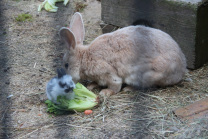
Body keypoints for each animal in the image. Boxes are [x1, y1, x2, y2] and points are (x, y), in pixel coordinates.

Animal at [59, 12, 187, 96]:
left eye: (66, 65)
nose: (64, 83)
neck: (84, 58)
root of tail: (181, 70)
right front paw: (91, 85)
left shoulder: (108, 73)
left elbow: (115, 86)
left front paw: (105, 92)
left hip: (148, 74)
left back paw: (128, 89)